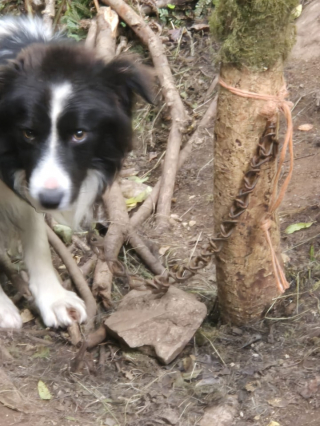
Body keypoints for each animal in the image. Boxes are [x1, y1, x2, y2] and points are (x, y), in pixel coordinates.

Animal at [0, 16, 151, 330]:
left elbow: (37, 236)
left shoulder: (29, 185)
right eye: (28, 133)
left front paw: (55, 300)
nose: (50, 200)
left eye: (79, 134)